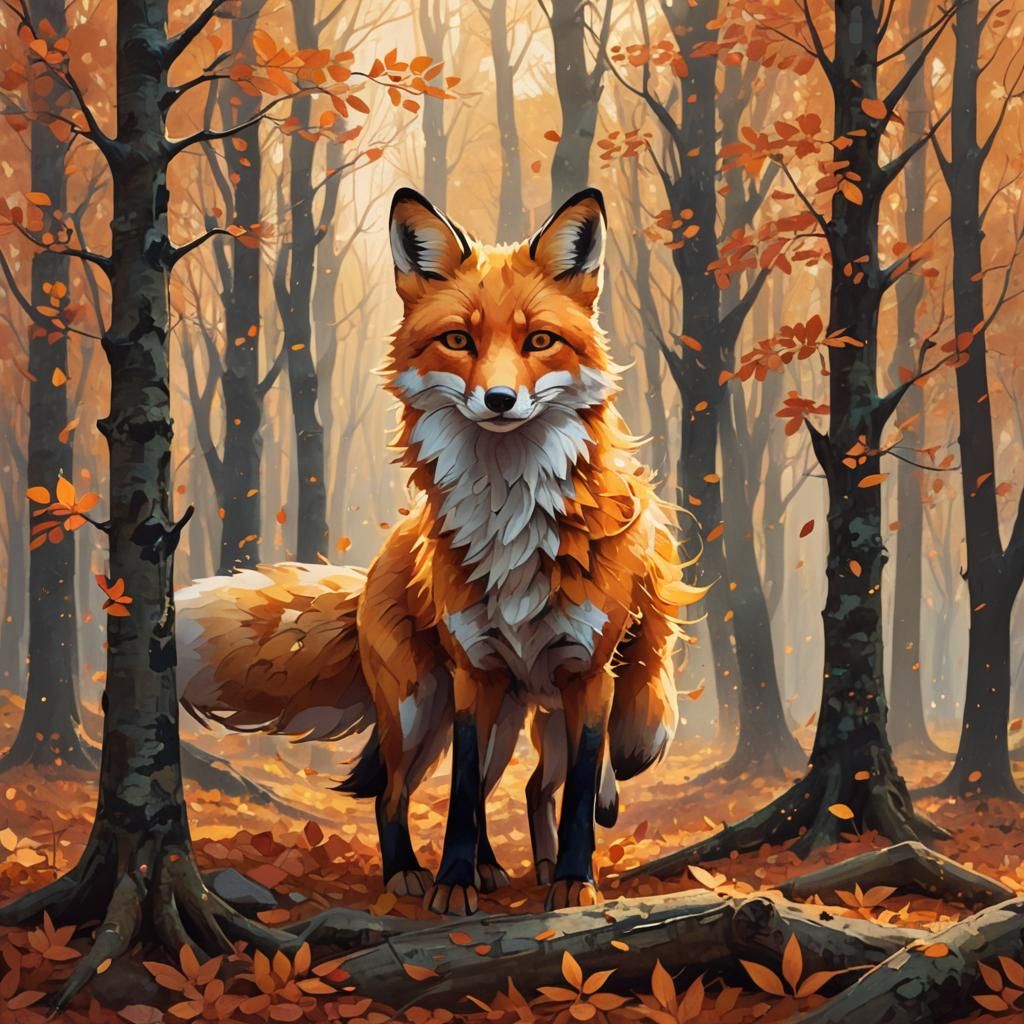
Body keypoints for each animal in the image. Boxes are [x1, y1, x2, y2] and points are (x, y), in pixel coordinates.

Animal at [177, 187, 703, 915]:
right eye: (459, 340)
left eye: (540, 341)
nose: (500, 399)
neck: (512, 517)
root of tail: (378, 563)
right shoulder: (472, 672)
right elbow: (458, 797)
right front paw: (454, 883)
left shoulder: (589, 673)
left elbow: (580, 790)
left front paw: (574, 881)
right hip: (423, 708)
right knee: (402, 794)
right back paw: (414, 872)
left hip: (521, 713)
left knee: (539, 784)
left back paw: (525, 864)